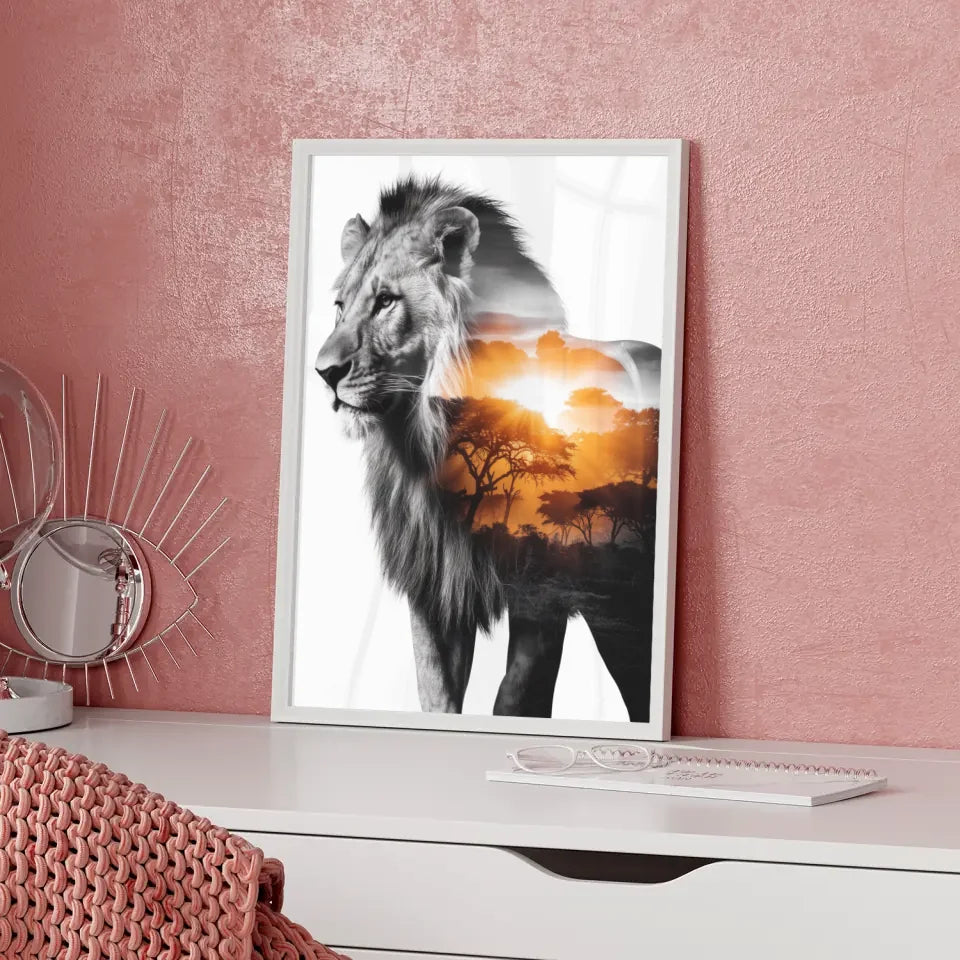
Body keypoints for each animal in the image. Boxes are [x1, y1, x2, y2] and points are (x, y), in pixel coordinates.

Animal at [315, 175, 660, 720]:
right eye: (339, 308)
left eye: (386, 301)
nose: (324, 373)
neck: (426, 439)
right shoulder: (434, 584)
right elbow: (436, 694)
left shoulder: (545, 585)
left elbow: (516, 698)